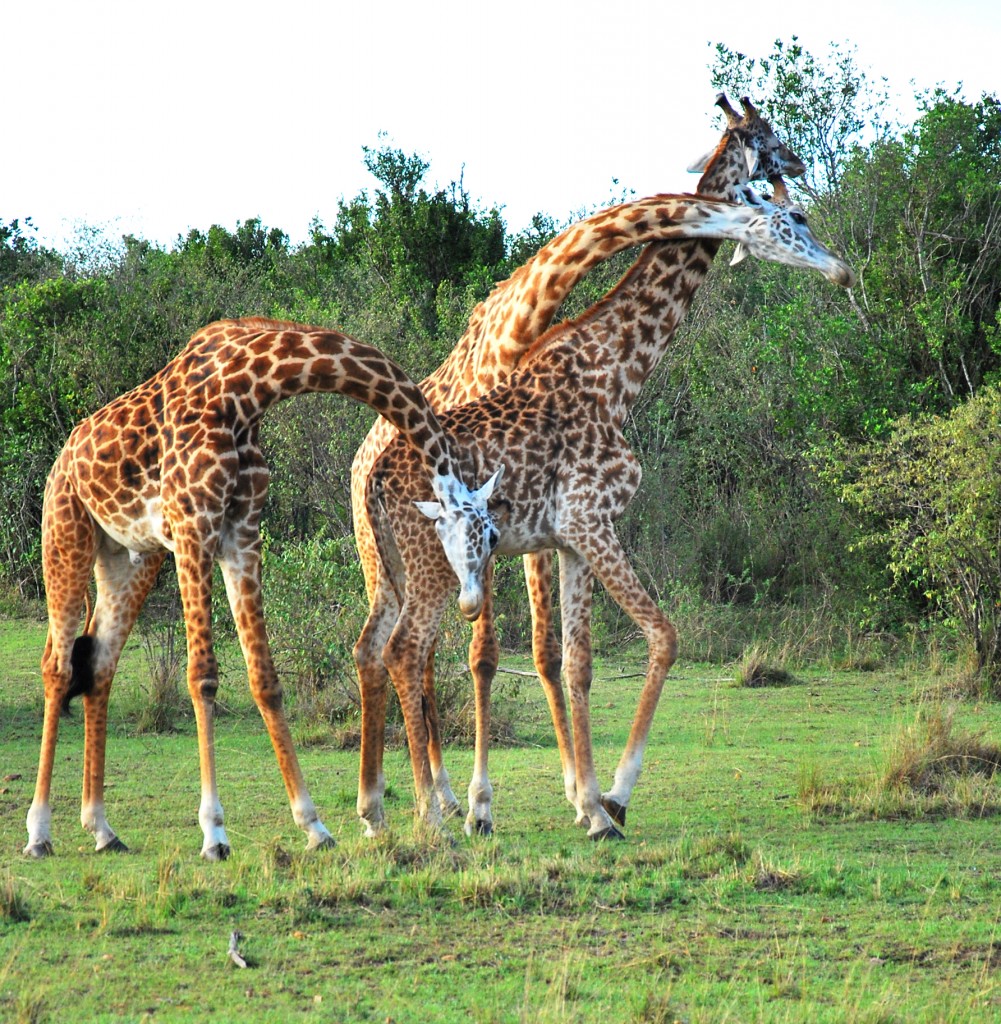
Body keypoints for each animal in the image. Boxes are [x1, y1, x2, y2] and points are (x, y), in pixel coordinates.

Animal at [25, 315, 499, 860]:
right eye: (481, 536)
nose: (470, 604)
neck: (246, 388)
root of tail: (64, 456)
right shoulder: (194, 526)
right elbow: (203, 675)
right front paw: (214, 833)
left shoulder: (240, 533)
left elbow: (265, 678)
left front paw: (313, 826)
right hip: (66, 533)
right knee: (58, 666)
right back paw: (39, 832)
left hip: (128, 557)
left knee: (100, 664)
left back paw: (101, 828)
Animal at [352, 92, 818, 835]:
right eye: (770, 137)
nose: (799, 168)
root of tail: (365, 466)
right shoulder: (552, 523)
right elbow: (521, 653)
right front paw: (556, 802)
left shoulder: (549, 534)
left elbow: (563, 659)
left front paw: (583, 799)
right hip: (412, 560)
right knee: (405, 651)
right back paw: (435, 810)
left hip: (391, 565)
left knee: (379, 649)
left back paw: (388, 808)